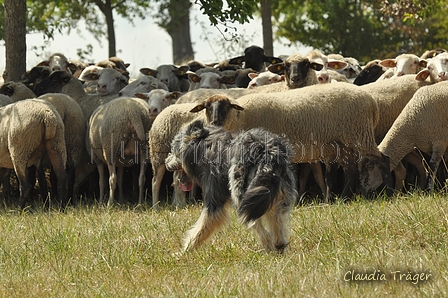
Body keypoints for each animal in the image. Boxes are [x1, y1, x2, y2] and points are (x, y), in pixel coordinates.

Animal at [164, 120, 298, 253]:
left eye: (174, 151)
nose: (165, 162)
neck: (205, 147)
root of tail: (267, 153)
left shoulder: (214, 200)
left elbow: (201, 228)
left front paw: (185, 251)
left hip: (242, 193)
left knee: (256, 223)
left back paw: (269, 247)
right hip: (272, 192)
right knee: (276, 218)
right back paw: (279, 246)